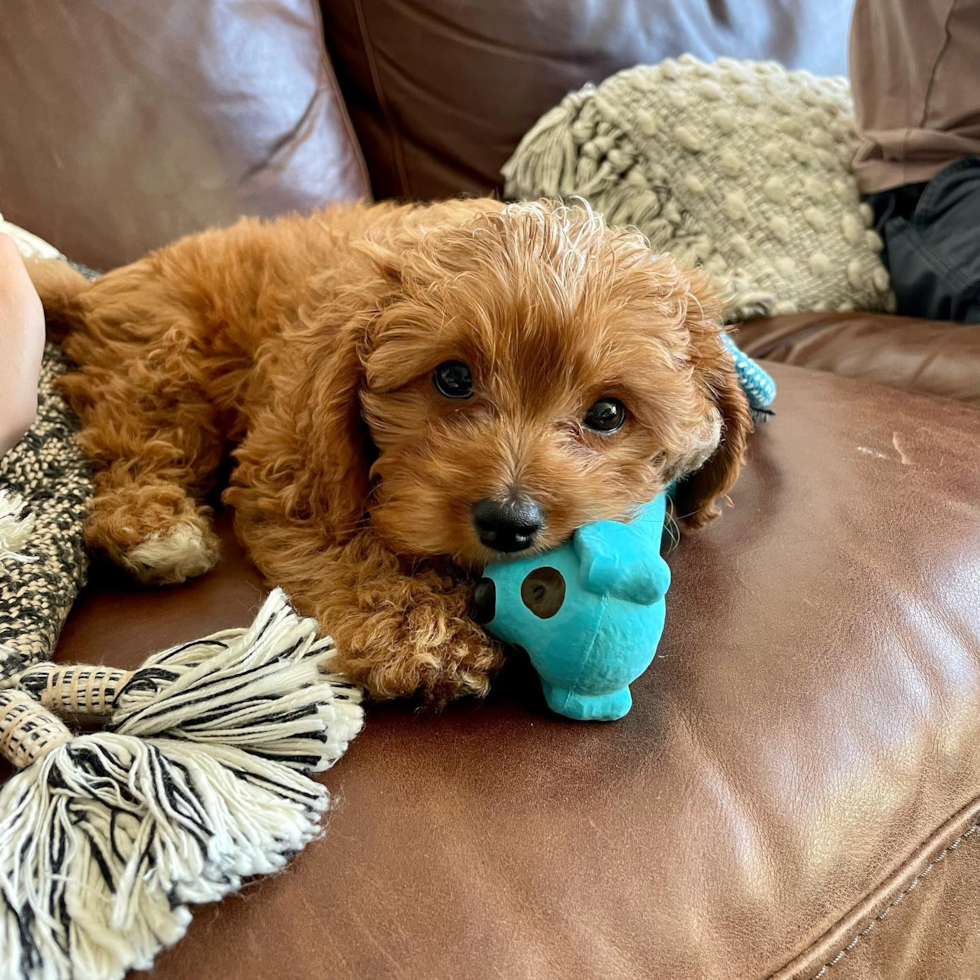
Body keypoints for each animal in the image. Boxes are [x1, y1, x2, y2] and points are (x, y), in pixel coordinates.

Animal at [30, 199, 752, 700]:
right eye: (452, 378)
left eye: (607, 414)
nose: (508, 523)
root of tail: (96, 287)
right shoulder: (290, 468)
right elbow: (346, 551)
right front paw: (422, 635)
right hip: (164, 362)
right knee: (138, 450)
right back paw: (156, 530)